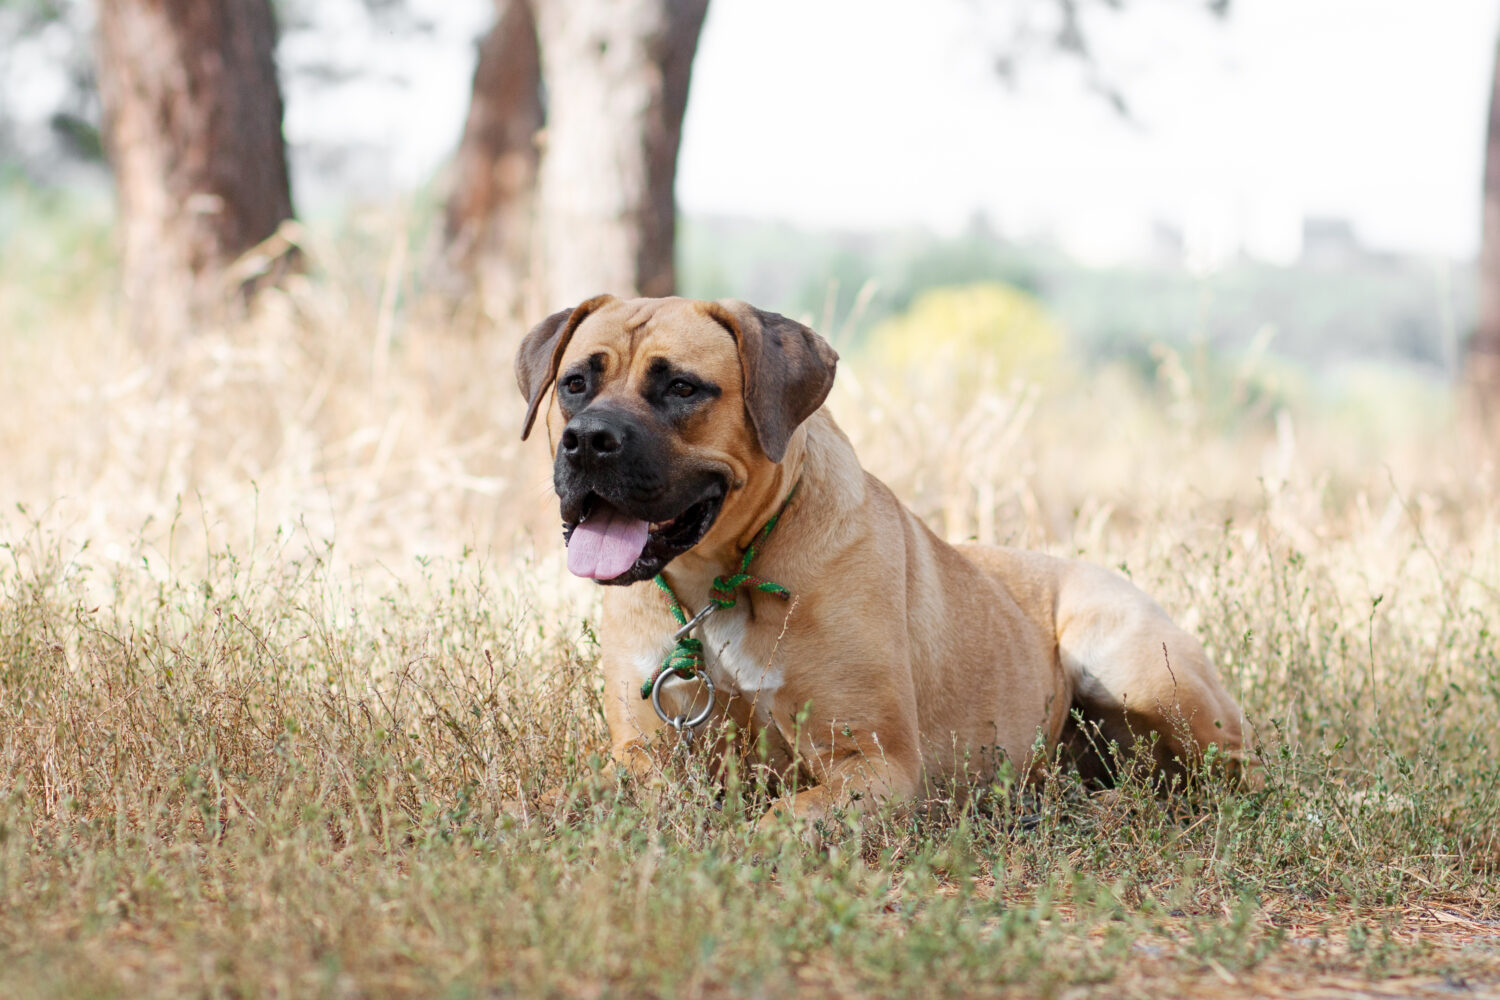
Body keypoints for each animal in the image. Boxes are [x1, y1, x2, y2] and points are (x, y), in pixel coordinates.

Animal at [516, 295, 1254, 827]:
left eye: (682, 388)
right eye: (575, 383)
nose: (588, 440)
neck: (717, 581)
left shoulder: (875, 764)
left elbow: (781, 821)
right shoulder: (645, 754)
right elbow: (567, 794)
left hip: (1139, 672)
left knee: (1226, 776)